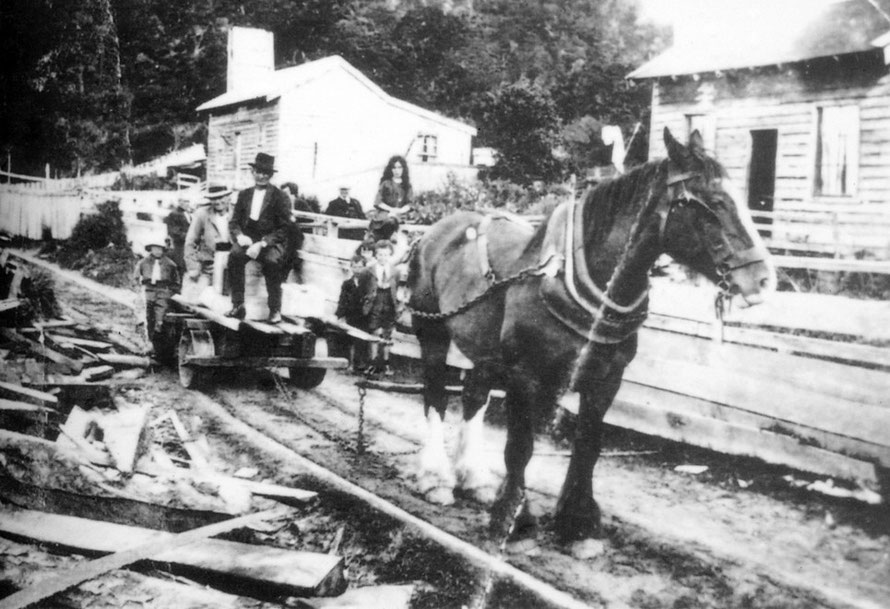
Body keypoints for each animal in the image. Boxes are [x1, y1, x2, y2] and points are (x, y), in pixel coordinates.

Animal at [406, 128, 772, 540]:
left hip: (486, 352)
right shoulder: (524, 377)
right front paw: (513, 515)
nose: (762, 280)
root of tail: (438, 229)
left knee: (473, 397)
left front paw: (577, 521)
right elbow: (520, 447)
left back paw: (474, 478)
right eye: (714, 203)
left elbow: (588, 445)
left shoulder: (606, 379)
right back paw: (435, 477)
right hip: (432, 333)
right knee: (435, 396)